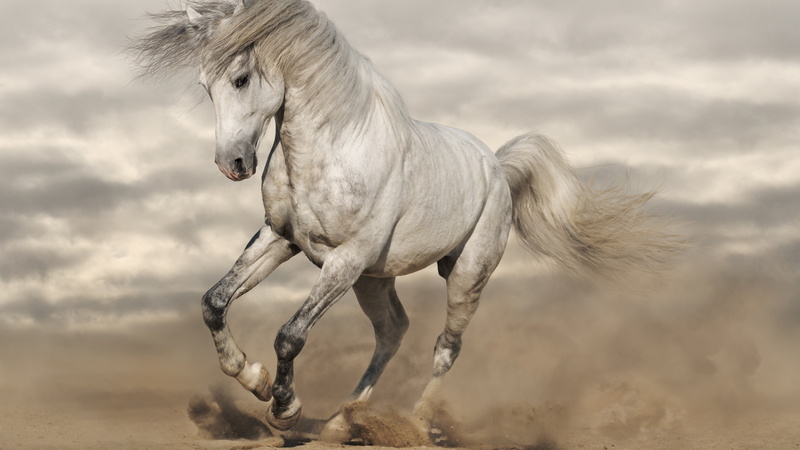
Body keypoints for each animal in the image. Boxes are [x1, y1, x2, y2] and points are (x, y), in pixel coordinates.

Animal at [133, 0, 679, 441]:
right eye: (204, 85)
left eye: (241, 78)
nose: (233, 165)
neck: (332, 148)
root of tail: (498, 167)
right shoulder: (281, 239)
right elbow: (214, 302)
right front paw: (253, 377)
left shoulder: (345, 261)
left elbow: (291, 334)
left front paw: (284, 408)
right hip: (374, 280)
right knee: (393, 331)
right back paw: (342, 422)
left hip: (463, 275)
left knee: (445, 347)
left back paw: (415, 423)